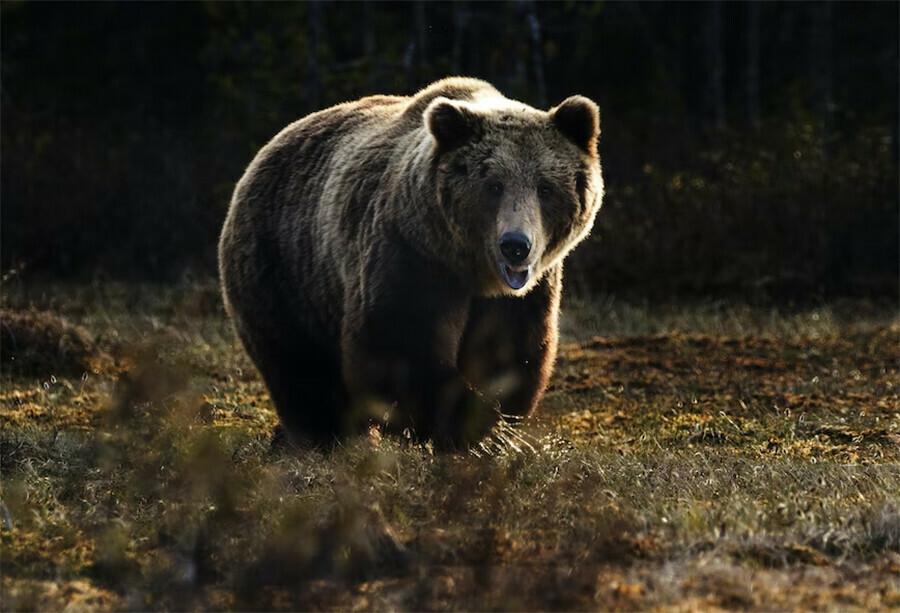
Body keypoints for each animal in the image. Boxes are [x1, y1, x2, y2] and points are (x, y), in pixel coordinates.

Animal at [220, 77, 604, 450]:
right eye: (493, 186)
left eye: (545, 187)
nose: (515, 246)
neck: (471, 269)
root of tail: (263, 152)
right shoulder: (410, 254)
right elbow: (398, 345)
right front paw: (464, 425)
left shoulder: (524, 293)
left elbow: (510, 351)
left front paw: (492, 425)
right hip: (283, 267)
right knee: (300, 366)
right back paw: (325, 436)